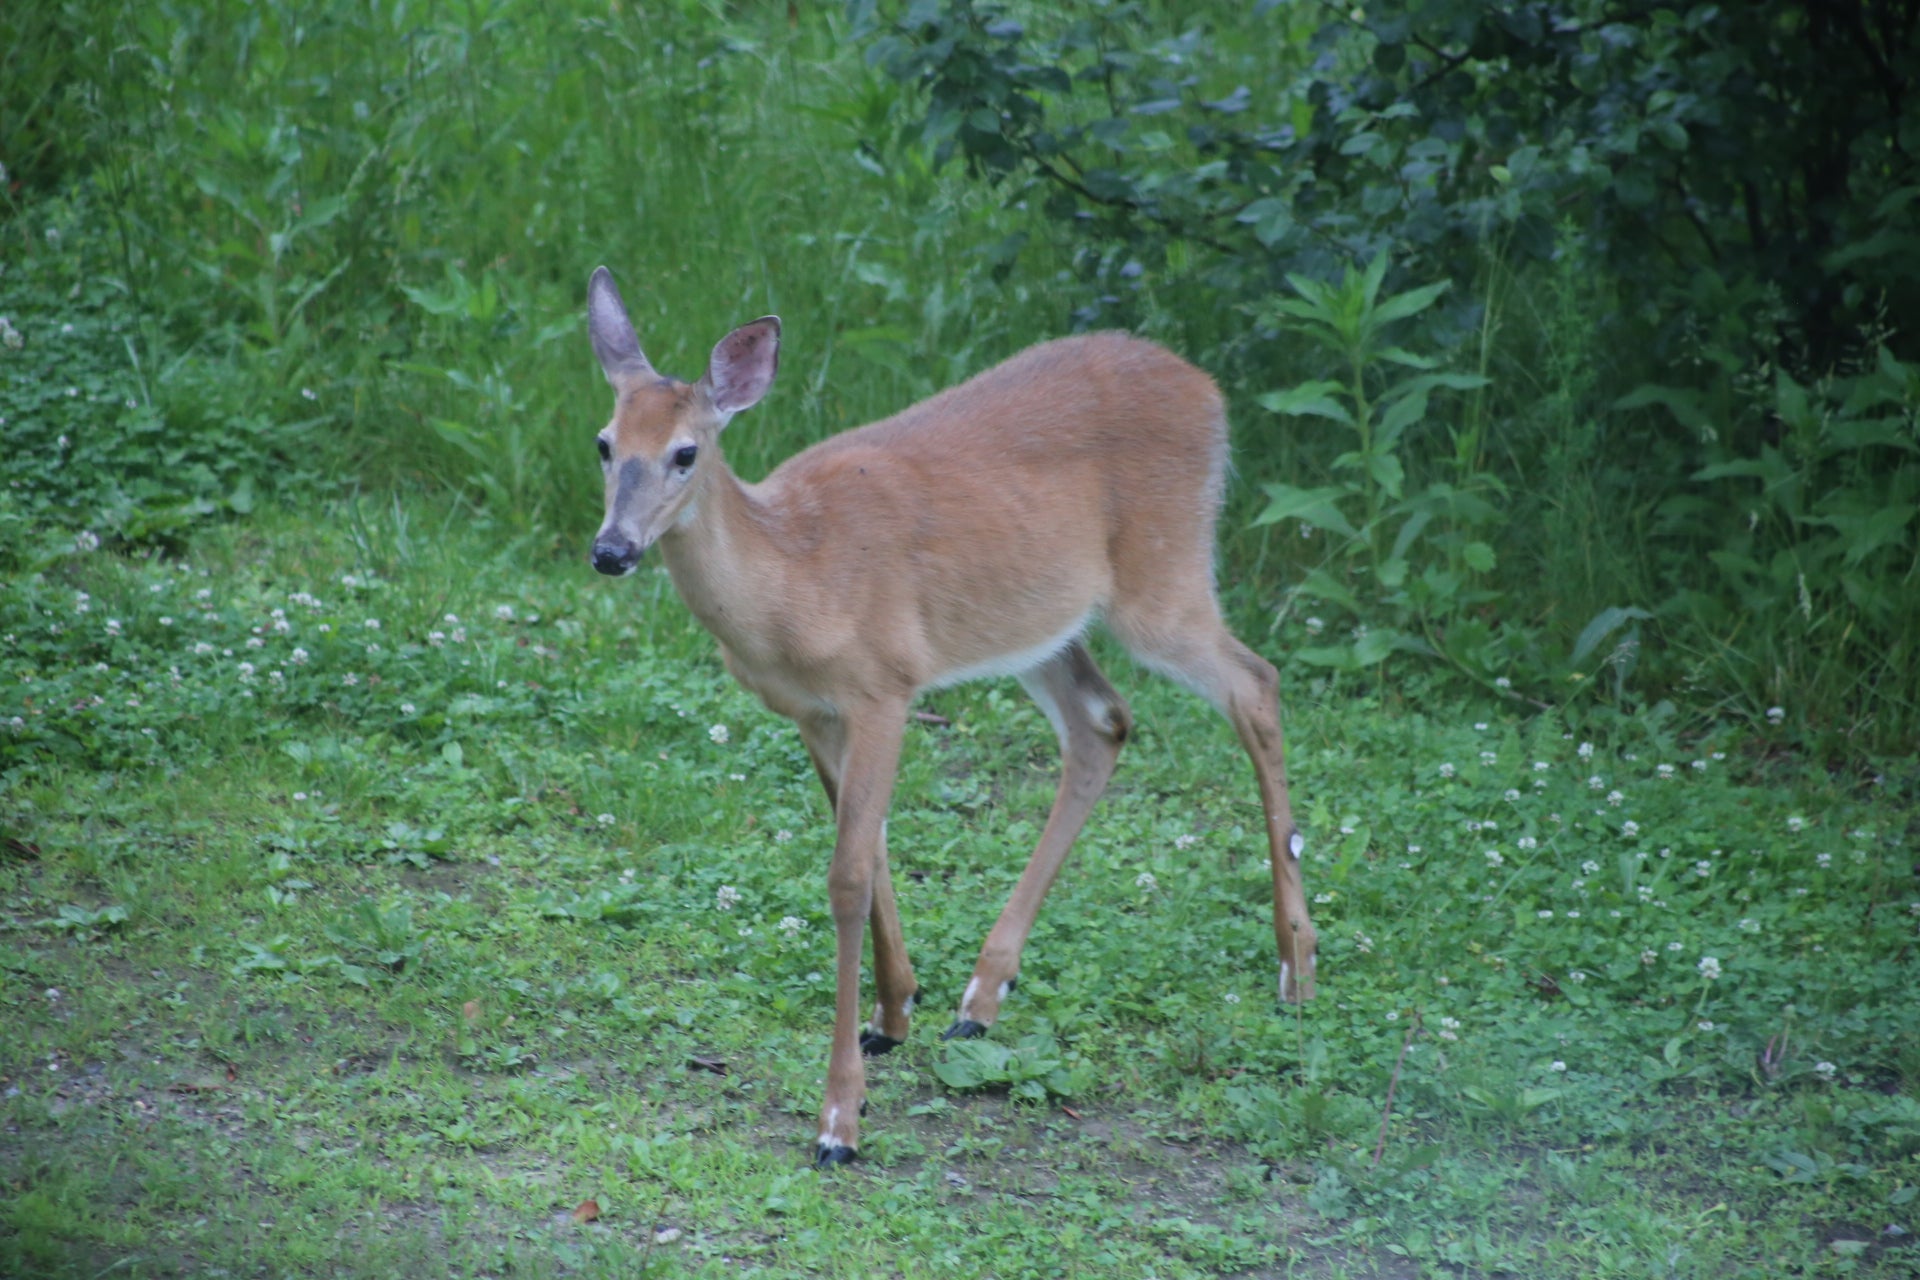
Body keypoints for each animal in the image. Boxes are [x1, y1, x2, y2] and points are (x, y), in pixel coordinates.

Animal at [584, 266, 1319, 1166]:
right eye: (605, 443)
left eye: (686, 453)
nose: (612, 550)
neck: (796, 575)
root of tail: (1208, 388)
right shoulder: (816, 712)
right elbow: (872, 851)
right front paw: (894, 1013)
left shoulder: (884, 686)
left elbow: (847, 877)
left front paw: (840, 1119)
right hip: (1039, 620)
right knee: (1103, 721)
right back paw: (982, 995)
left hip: (1164, 576)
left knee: (1256, 683)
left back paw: (1296, 968)